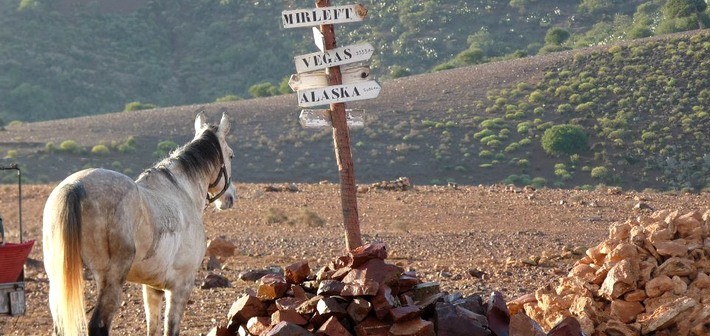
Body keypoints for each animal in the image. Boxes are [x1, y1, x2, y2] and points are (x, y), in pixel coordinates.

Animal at [43, 113, 235, 336]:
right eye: (231, 155)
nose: (230, 198)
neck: (181, 191)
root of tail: (75, 186)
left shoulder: (152, 287)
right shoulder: (181, 286)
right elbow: (171, 329)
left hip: (58, 280)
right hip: (111, 280)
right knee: (99, 324)